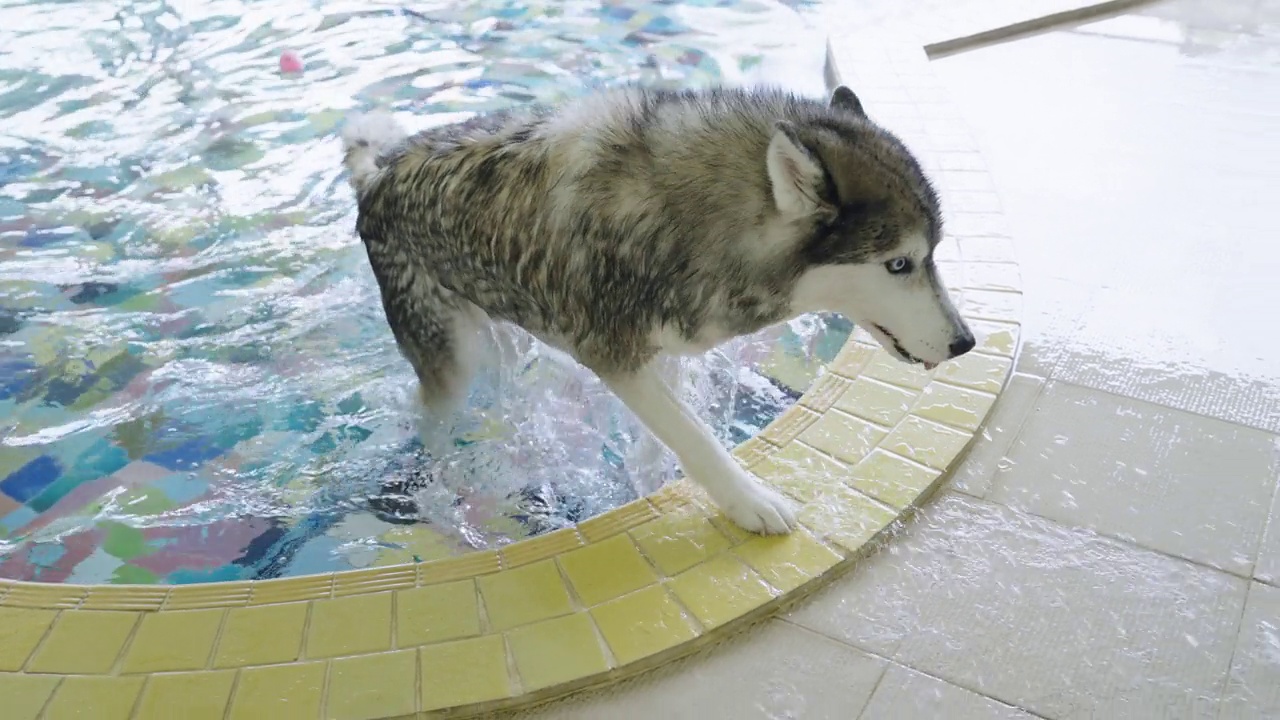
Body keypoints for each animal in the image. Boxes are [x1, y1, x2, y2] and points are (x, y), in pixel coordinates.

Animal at [335, 82, 972, 532]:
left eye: (934, 254)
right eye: (899, 264)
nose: (965, 343)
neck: (689, 218)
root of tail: (379, 171)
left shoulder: (663, 351)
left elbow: (667, 440)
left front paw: (652, 488)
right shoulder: (613, 356)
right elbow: (698, 439)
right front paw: (749, 503)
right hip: (455, 361)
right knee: (428, 417)